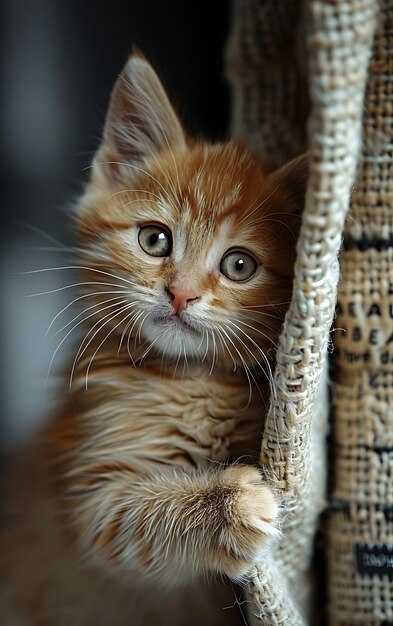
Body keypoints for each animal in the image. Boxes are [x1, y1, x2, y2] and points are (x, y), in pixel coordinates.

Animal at [0, 53, 306, 624]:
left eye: (239, 265)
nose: (181, 293)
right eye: (154, 239)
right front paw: (231, 506)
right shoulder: (92, 497)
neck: (189, 383)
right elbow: (139, 519)